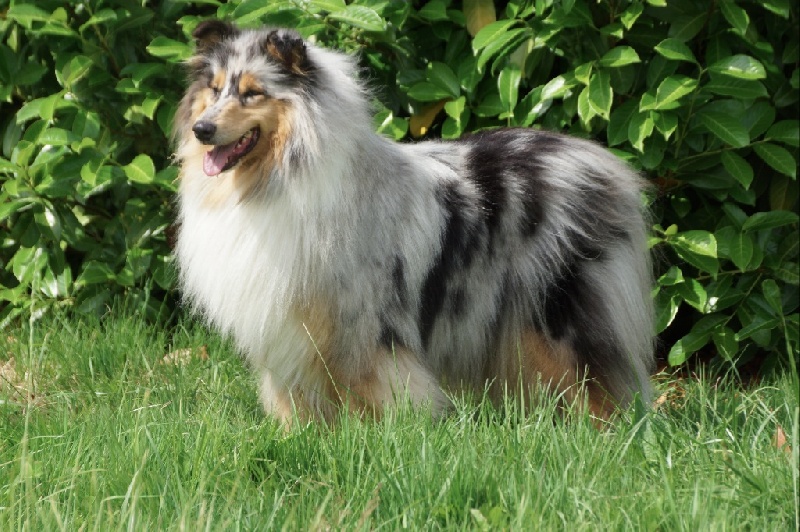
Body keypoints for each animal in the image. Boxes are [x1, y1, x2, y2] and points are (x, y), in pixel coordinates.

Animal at [173, 20, 655, 426]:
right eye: (213, 90)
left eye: (253, 93)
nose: (202, 130)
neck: (278, 178)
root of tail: (606, 164)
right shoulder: (290, 331)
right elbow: (295, 400)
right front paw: (298, 438)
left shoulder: (361, 330)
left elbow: (372, 394)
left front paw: (375, 439)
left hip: (562, 315)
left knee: (597, 381)